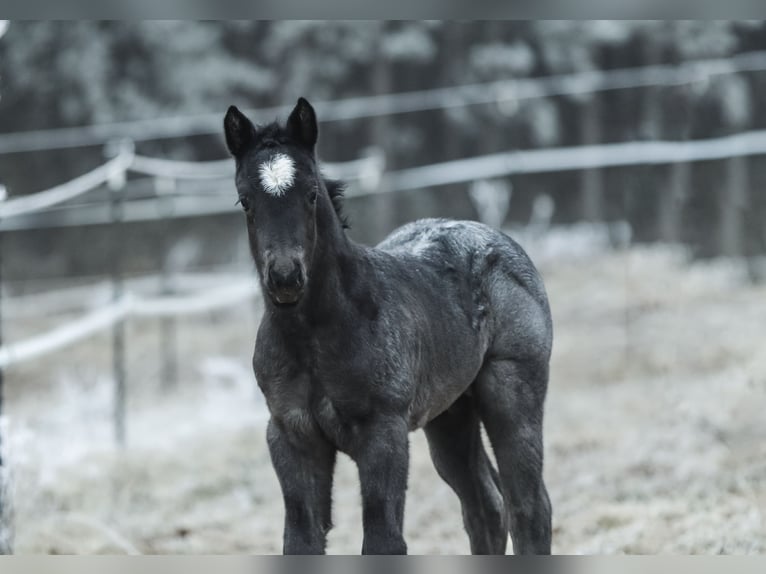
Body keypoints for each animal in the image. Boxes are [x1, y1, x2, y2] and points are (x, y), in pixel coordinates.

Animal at [225, 99, 556, 560]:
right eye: (245, 201)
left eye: (311, 195)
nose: (286, 277)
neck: (313, 338)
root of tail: (495, 237)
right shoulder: (291, 435)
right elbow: (302, 538)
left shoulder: (384, 433)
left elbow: (383, 538)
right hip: (451, 414)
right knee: (486, 507)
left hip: (511, 389)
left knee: (529, 506)